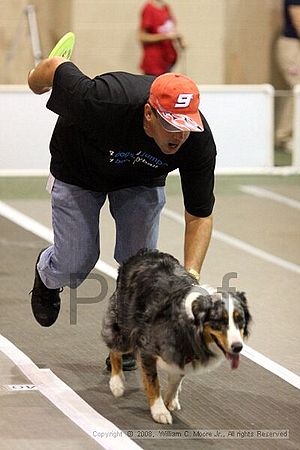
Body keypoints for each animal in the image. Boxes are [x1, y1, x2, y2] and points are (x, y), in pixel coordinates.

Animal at [102, 248, 252, 424]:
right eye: (219, 321)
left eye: (240, 321)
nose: (238, 347)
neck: (190, 320)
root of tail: (144, 252)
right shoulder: (147, 347)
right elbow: (153, 382)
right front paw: (159, 410)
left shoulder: (183, 351)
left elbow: (176, 378)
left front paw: (171, 400)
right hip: (125, 326)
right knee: (115, 349)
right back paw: (117, 383)